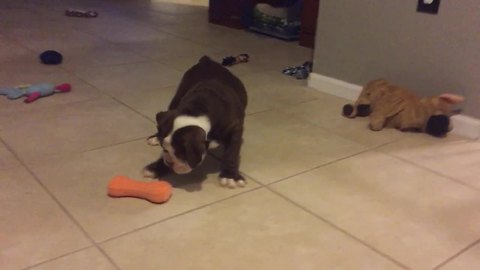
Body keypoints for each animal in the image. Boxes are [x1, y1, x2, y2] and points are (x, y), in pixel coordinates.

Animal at [143, 55, 248, 188]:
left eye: (181, 154)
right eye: (165, 150)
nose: (169, 162)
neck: (198, 111)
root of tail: (207, 60)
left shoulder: (234, 129)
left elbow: (231, 153)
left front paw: (229, 176)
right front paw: (155, 168)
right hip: (177, 96)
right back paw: (155, 137)